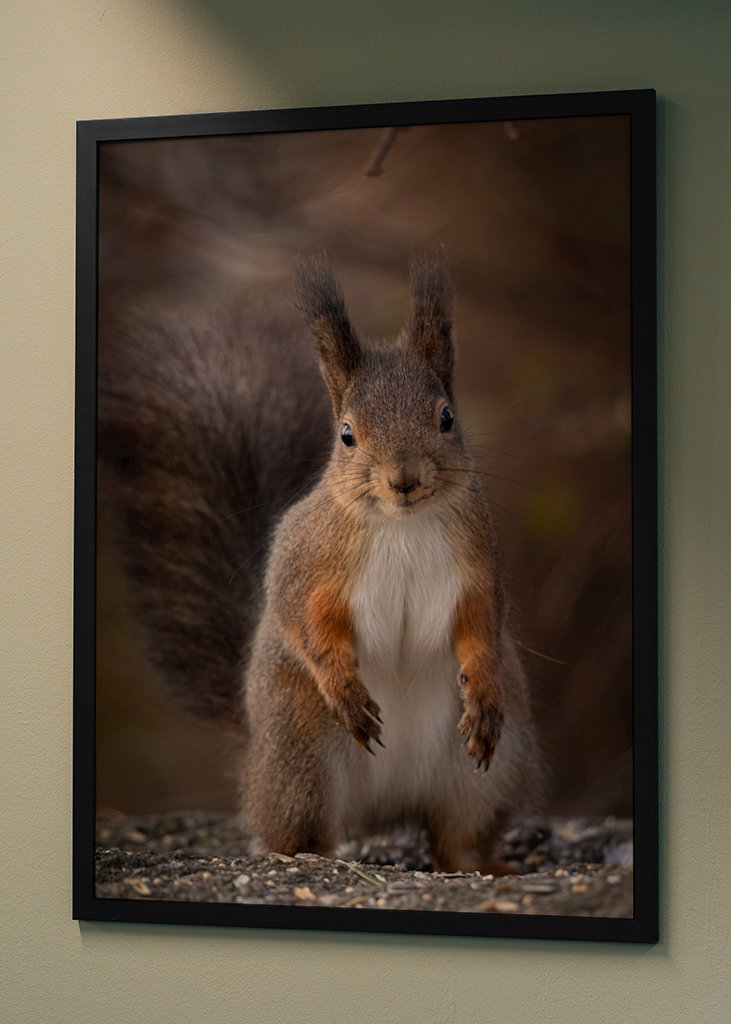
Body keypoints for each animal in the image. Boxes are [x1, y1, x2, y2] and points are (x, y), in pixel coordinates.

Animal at [240, 253, 540, 873]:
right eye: (347, 435)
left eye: (447, 418)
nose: (404, 479)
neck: (402, 523)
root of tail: (387, 806)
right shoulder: (308, 562)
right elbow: (304, 620)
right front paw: (345, 688)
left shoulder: (477, 567)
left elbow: (482, 626)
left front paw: (484, 692)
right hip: (298, 754)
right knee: (300, 830)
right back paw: (312, 856)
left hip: (492, 770)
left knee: (458, 837)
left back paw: (482, 863)